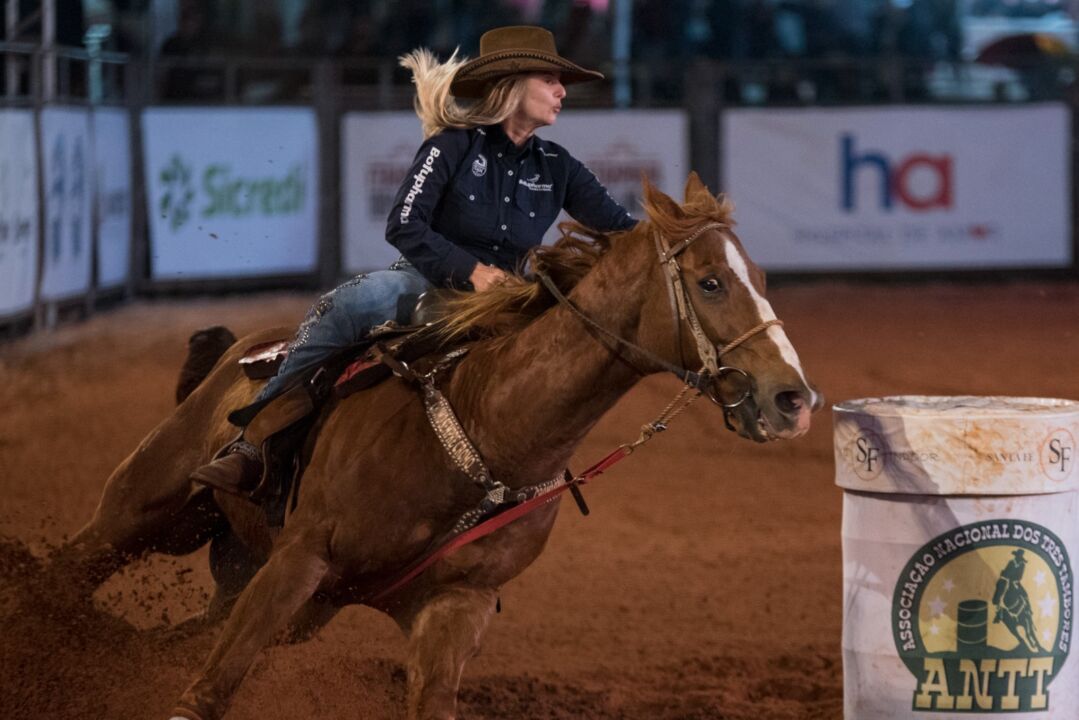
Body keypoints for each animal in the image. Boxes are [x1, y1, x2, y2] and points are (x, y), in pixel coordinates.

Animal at [42, 175, 820, 720]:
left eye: (761, 280)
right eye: (710, 282)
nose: (794, 400)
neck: (487, 432)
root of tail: (244, 350)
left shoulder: (454, 606)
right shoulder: (299, 558)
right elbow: (209, 688)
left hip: (268, 585)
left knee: (172, 635)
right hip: (148, 510)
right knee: (67, 572)